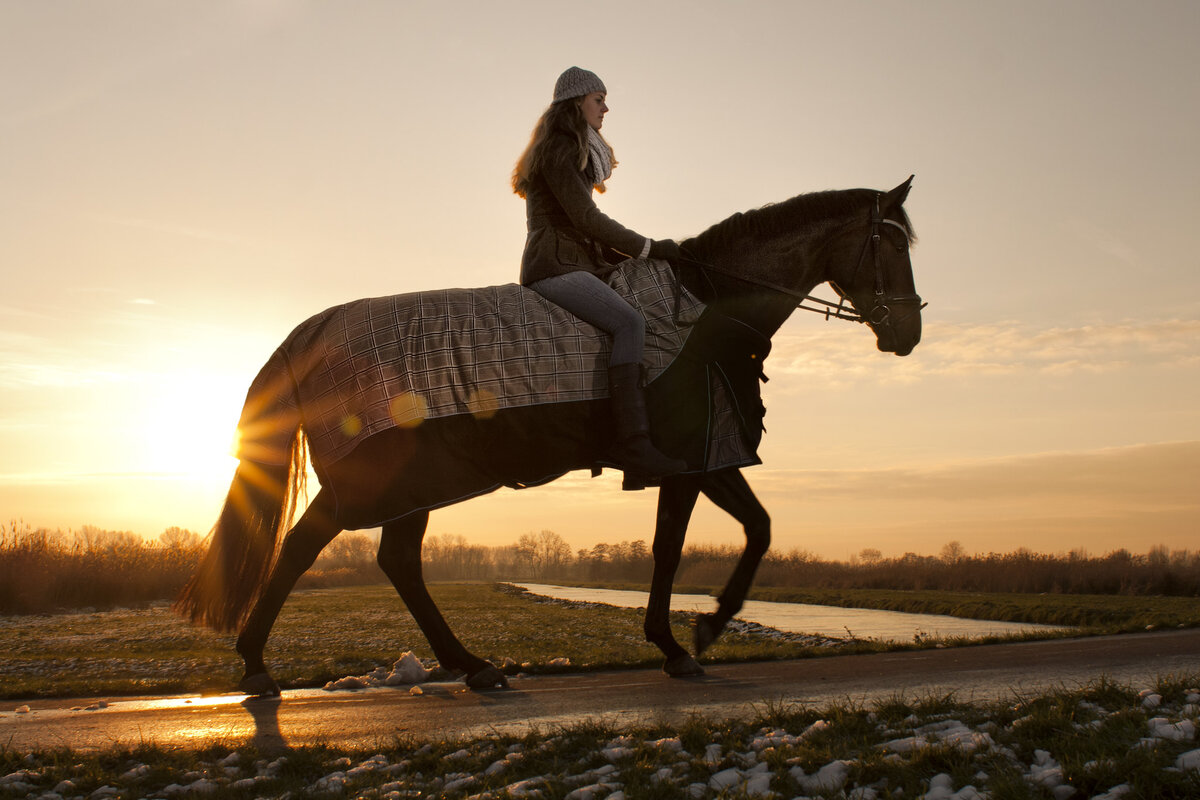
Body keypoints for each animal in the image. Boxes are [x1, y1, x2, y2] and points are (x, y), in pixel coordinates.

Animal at [174, 176, 921, 695]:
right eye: (890, 243)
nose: (909, 332)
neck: (704, 308)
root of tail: (312, 331)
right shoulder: (690, 458)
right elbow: (679, 549)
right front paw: (688, 639)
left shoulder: (704, 459)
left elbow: (748, 531)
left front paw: (697, 631)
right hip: (381, 480)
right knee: (306, 549)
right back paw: (258, 666)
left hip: (414, 487)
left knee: (398, 563)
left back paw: (470, 666)